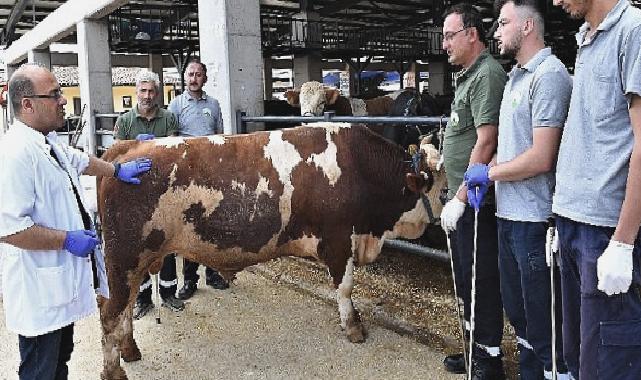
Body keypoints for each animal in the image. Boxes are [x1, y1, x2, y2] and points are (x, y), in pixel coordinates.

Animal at [97, 123, 432, 378]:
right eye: (437, 188)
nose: (435, 223)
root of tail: (124, 150)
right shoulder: (339, 240)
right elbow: (345, 288)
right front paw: (354, 328)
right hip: (124, 260)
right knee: (111, 313)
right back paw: (114, 371)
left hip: (138, 262)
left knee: (125, 309)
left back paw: (131, 350)